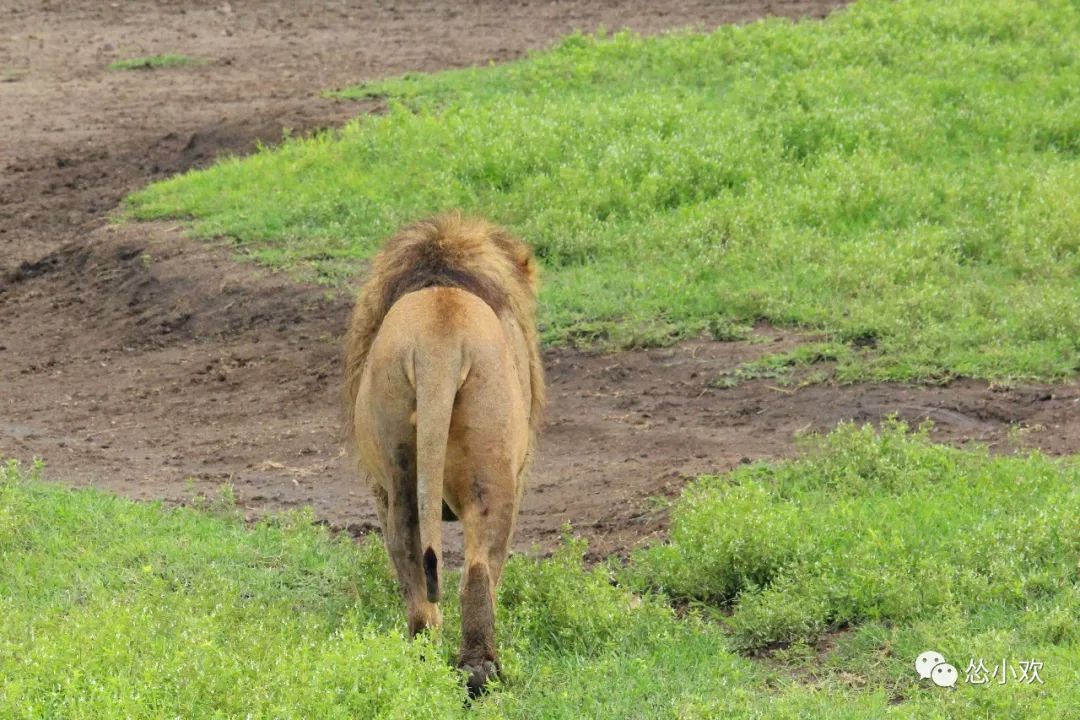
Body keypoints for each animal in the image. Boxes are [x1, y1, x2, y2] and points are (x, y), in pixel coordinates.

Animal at [343, 211, 544, 695]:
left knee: (410, 555)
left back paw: (423, 658)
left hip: (397, 456)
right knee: (480, 566)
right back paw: (480, 669)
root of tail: (440, 341)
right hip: (492, 465)